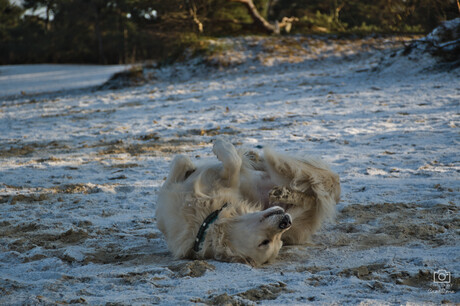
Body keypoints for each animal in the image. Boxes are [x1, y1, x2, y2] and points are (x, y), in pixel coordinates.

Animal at [156, 139, 340, 266]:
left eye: (266, 242)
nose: (286, 222)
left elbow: (232, 162)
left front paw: (221, 144)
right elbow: (182, 159)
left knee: (313, 195)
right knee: (310, 194)